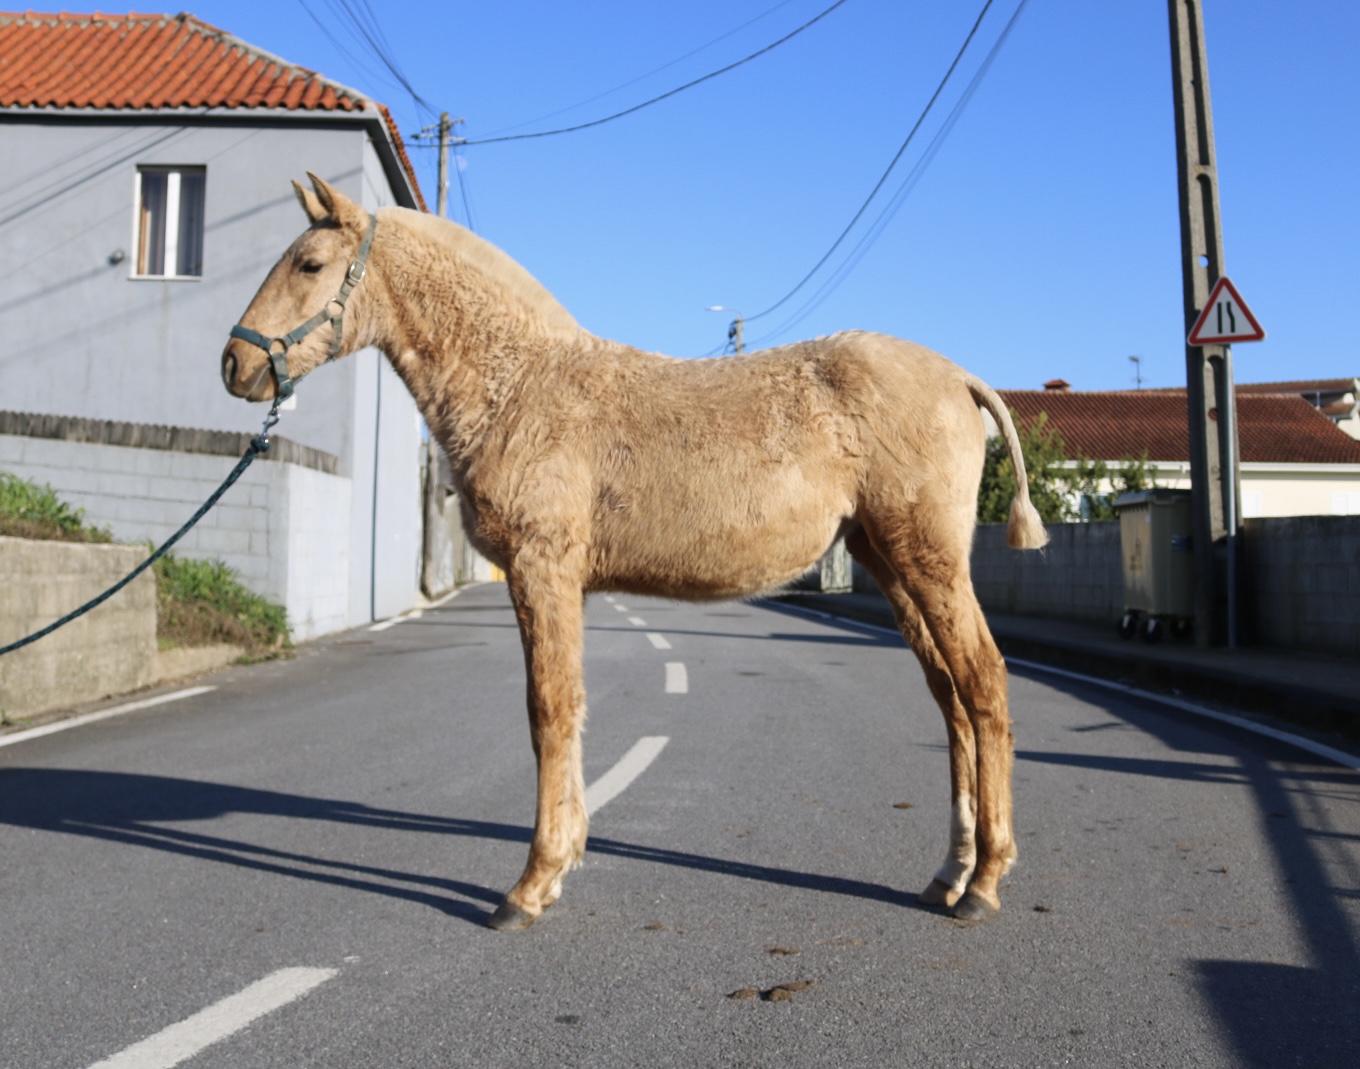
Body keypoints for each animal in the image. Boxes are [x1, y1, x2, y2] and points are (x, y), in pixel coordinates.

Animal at [222, 174, 1049, 931]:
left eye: (309, 263)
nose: (234, 364)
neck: (520, 384)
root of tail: (963, 377)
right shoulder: (561, 580)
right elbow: (570, 706)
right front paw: (562, 862)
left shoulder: (541, 567)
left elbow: (549, 709)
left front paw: (531, 884)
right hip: (889, 560)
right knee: (949, 698)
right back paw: (949, 872)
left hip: (928, 561)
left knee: (983, 684)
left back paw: (983, 882)